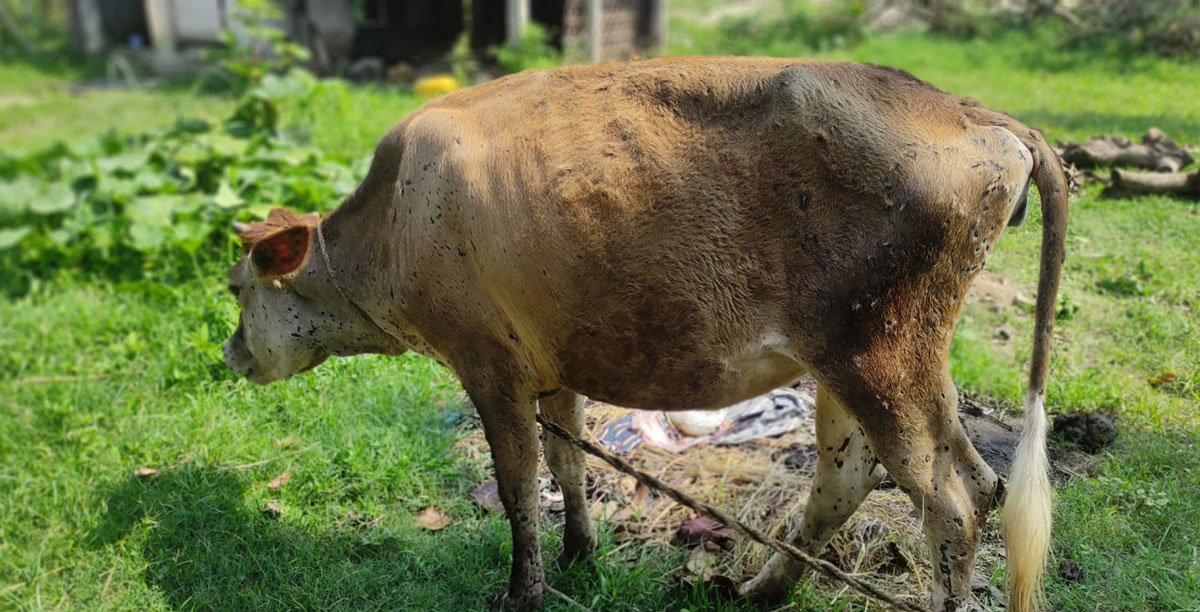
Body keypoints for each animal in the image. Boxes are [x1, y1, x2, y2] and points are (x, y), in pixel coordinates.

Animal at [225, 57, 1070, 612]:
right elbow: (566, 462)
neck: (395, 222)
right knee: (901, 479)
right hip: (872, 359)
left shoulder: (486, 364)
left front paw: (524, 591)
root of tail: (972, 112)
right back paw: (756, 589)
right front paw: (579, 553)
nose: (231, 355)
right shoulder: (552, 364)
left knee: (950, 502)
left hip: (878, 353)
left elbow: (517, 485)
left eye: (236, 289)